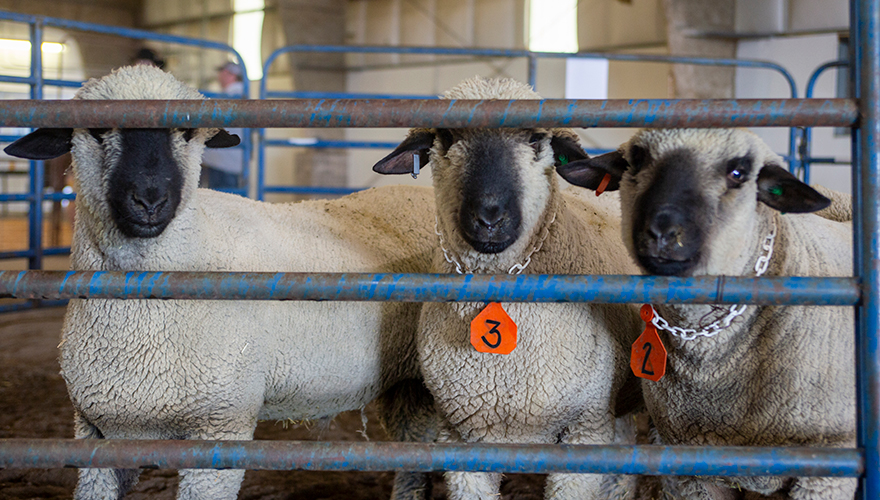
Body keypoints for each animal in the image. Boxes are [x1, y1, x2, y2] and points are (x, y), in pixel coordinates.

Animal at [6, 64, 444, 500]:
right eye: (97, 130)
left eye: (186, 132)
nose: (150, 200)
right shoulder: (99, 432)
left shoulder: (220, 427)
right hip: (408, 384)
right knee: (412, 457)